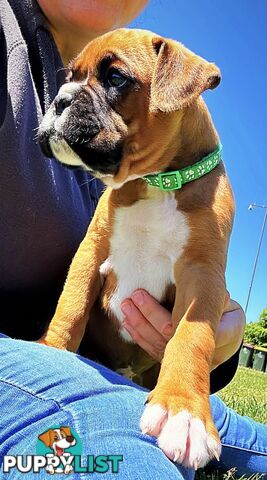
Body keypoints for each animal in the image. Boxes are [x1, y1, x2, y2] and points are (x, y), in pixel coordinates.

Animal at [37, 29, 234, 468]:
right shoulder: (91, 253)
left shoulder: (203, 276)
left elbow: (191, 338)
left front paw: (184, 412)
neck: (155, 182)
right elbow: (70, 308)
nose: (59, 99)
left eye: (115, 78)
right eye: (69, 77)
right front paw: (49, 350)